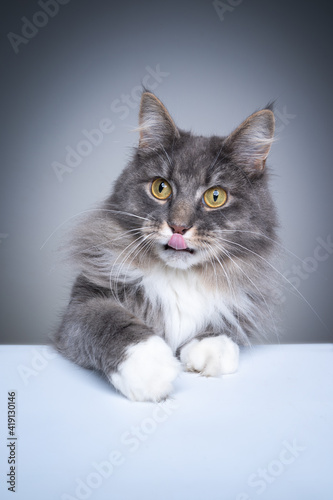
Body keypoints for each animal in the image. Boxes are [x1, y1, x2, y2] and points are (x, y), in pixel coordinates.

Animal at [53, 91, 278, 402]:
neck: (180, 277)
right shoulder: (82, 305)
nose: (178, 227)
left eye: (216, 196)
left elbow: (226, 325)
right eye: (161, 188)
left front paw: (210, 349)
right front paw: (149, 366)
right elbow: (110, 321)